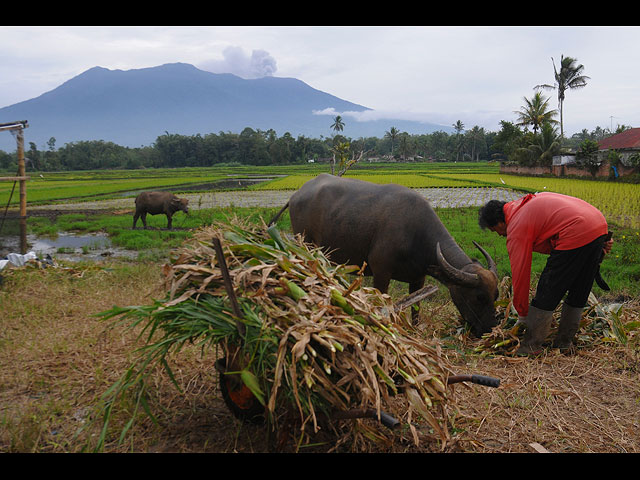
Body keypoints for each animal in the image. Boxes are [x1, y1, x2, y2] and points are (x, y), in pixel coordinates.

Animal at [270, 173, 500, 338]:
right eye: (479, 297)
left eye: (496, 295)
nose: (490, 329)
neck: (415, 233)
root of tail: (296, 195)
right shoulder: (381, 273)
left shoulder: (419, 278)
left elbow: (416, 309)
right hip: (306, 244)